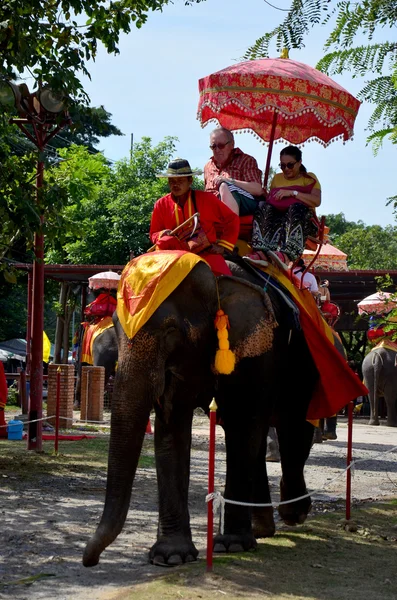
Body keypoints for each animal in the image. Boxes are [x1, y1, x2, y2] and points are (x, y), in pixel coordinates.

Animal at [82, 260, 318, 568]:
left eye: (171, 331)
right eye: (116, 327)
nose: (89, 561)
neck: (216, 279)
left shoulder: (260, 349)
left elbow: (245, 422)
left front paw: (230, 545)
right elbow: (173, 426)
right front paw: (171, 555)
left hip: (307, 368)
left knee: (293, 430)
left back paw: (293, 514)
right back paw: (262, 529)